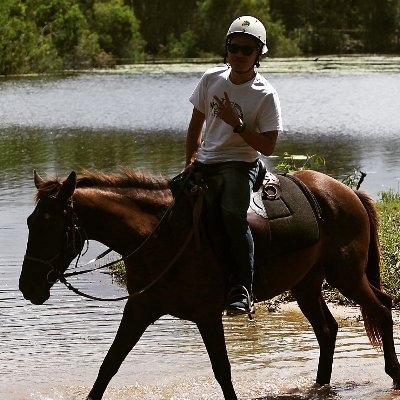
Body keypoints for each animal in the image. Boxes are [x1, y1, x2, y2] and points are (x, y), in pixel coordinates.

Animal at [19, 167, 400, 398]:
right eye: (30, 222)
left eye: (51, 226)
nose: (28, 287)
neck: (160, 234)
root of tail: (343, 191)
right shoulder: (140, 308)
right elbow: (109, 365)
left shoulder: (206, 314)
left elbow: (222, 371)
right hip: (306, 284)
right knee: (327, 329)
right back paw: (320, 386)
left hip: (346, 275)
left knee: (381, 308)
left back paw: (394, 374)